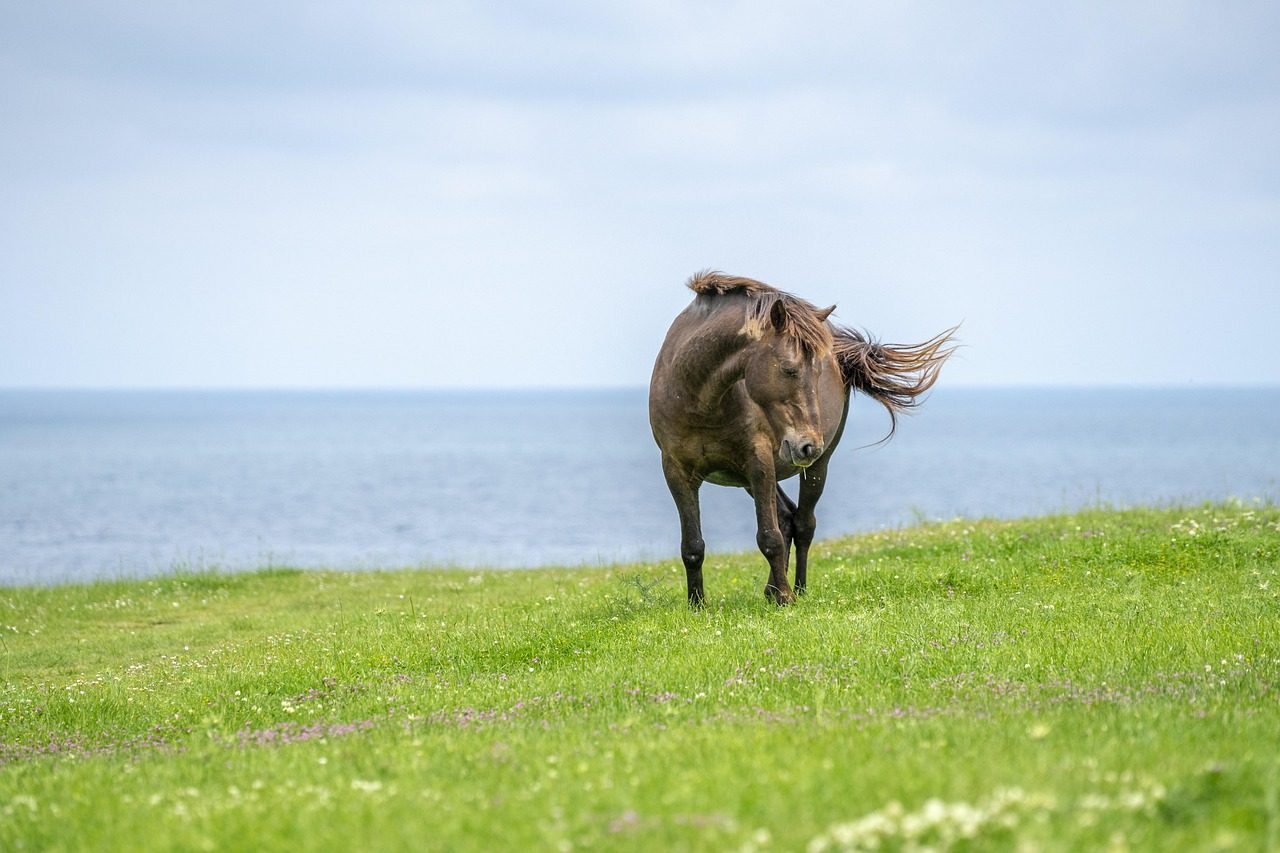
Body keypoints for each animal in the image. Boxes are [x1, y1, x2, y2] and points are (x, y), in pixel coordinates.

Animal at [649, 271, 956, 606]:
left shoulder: (758, 464)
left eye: (819, 370)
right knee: (786, 517)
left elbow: (769, 536)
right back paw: (771, 591)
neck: (699, 397)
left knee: (803, 524)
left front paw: (786, 598)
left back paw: (796, 589)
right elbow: (692, 546)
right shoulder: (677, 471)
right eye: (789, 369)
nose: (808, 445)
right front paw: (697, 605)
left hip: (815, 467)